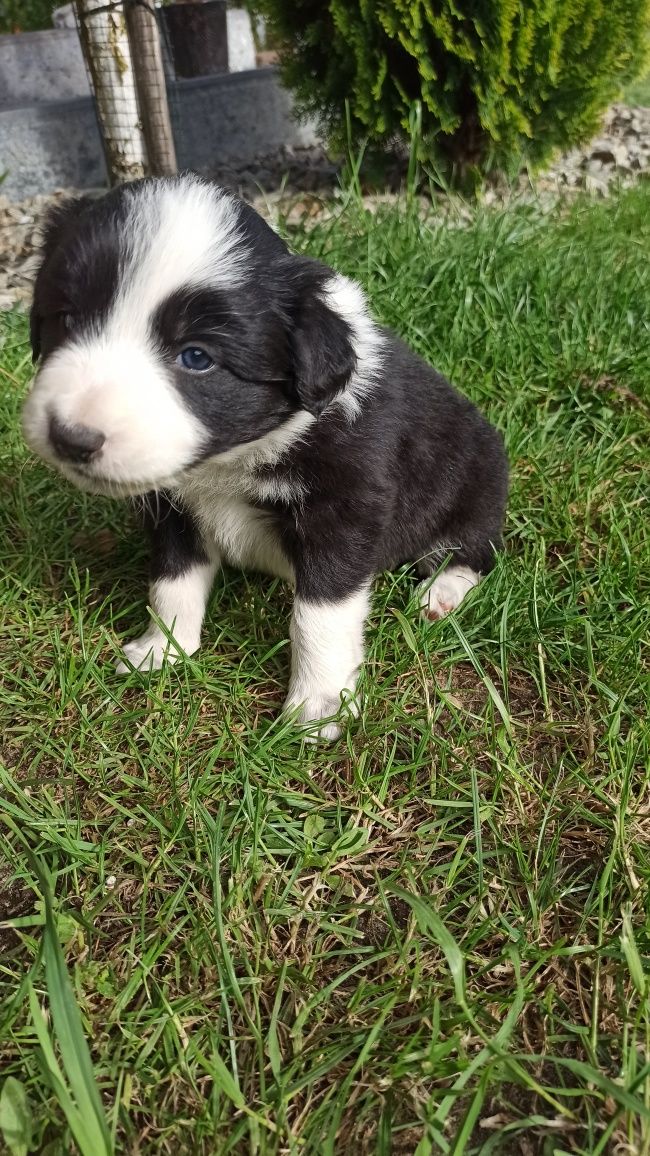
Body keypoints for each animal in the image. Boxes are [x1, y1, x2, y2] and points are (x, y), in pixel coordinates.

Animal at [22, 178, 506, 739]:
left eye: (197, 357)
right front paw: (163, 650)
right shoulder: (172, 507)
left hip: (472, 479)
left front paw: (318, 706)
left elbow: (320, 615)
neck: (230, 460)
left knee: (475, 551)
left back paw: (440, 593)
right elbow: (172, 580)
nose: (70, 438)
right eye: (67, 318)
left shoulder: (346, 506)